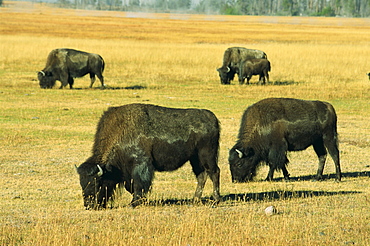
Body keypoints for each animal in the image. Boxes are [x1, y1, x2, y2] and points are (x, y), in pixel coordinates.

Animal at [75, 103, 220, 209]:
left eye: (97, 183)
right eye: (82, 183)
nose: (89, 205)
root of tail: (212, 118)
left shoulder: (141, 165)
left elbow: (139, 185)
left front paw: (134, 203)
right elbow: (130, 187)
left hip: (207, 155)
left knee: (214, 172)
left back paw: (215, 200)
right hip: (195, 159)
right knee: (202, 175)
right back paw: (195, 200)